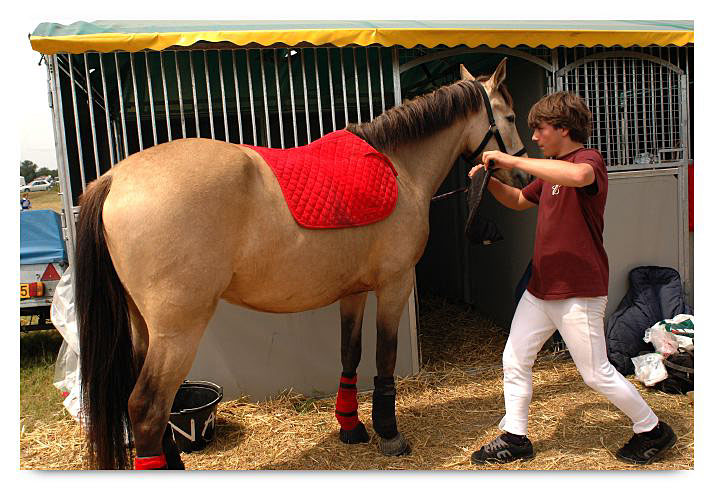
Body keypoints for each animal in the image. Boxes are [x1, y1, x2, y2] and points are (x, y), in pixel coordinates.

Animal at [75, 58, 528, 469]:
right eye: (509, 116)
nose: (523, 175)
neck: (400, 169)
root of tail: (113, 179)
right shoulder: (395, 285)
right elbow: (384, 357)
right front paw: (389, 433)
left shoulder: (354, 292)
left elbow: (350, 355)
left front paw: (351, 427)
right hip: (178, 331)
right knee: (147, 408)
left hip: (144, 327)